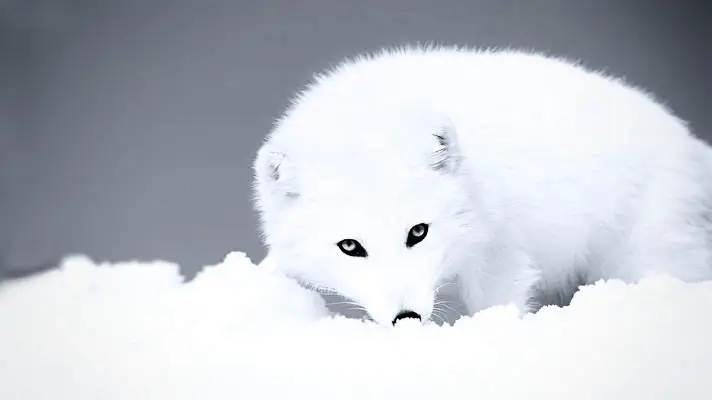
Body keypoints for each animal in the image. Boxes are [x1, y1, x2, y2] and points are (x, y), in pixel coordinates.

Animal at [251, 45, 712, 327]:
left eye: (418, 232)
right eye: (349, 246)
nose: (406, 318)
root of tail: (690, 143)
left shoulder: (501, 255)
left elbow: (499, 302)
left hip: (644, 258)